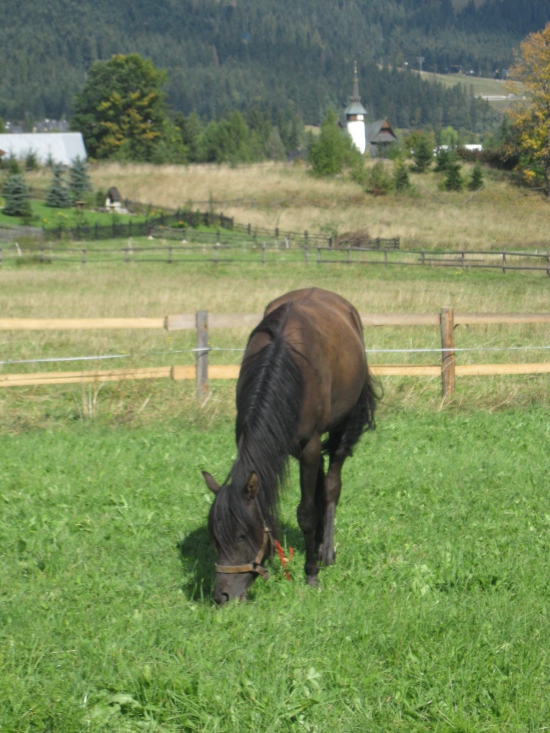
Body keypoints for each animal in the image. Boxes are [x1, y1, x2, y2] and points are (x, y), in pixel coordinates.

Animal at [203, 288, 380, 604]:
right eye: (215, 539)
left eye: (241, 536)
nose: (222, 595)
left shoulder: (310, 447)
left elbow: (306, 514)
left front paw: (311, 575)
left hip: (341, 427)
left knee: (331, 485)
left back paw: (326, 551)